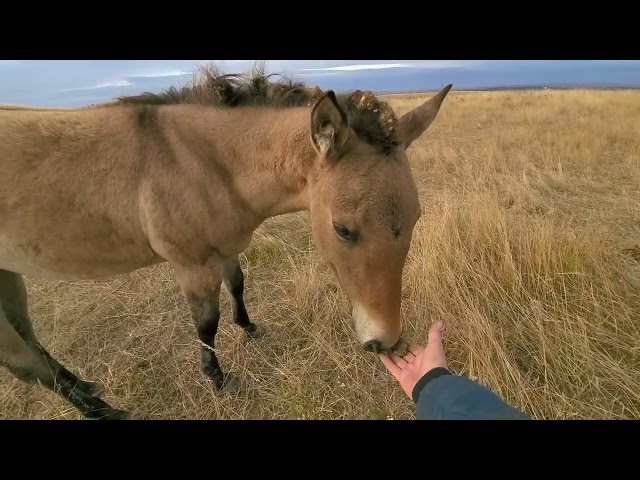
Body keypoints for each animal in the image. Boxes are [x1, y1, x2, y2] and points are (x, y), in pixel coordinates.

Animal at [0, 63, 452, 420]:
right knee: (24, 364)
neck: (201, 161)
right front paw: (218, 380)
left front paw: (249, 328)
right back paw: (102, 410)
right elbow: (207, 323)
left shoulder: (227, 246)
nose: (386, 341)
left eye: (416, 217)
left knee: (30, 341)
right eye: (343, 229)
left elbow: (237, 283)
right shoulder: (194, 265)